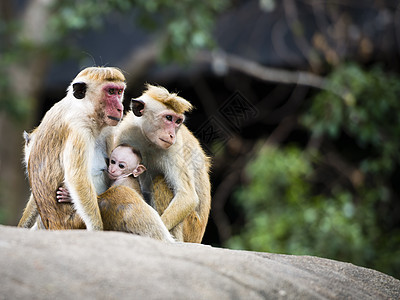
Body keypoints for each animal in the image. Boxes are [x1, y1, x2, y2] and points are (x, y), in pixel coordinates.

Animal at [17, 66, 125, 230]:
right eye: (111, 91)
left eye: (119, 92)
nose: (120, 108)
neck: (80, 107)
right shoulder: (80, 128)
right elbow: (77, 178)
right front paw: (96, 229)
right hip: (74, 222)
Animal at [114, 83, 211, 243]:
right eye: (168, 118)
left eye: (177, 121)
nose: (171, 135)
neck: (148, 141)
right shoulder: (122, 134)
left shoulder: (173, 148)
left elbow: (187, 197)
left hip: (192, 227)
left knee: (161, 181)